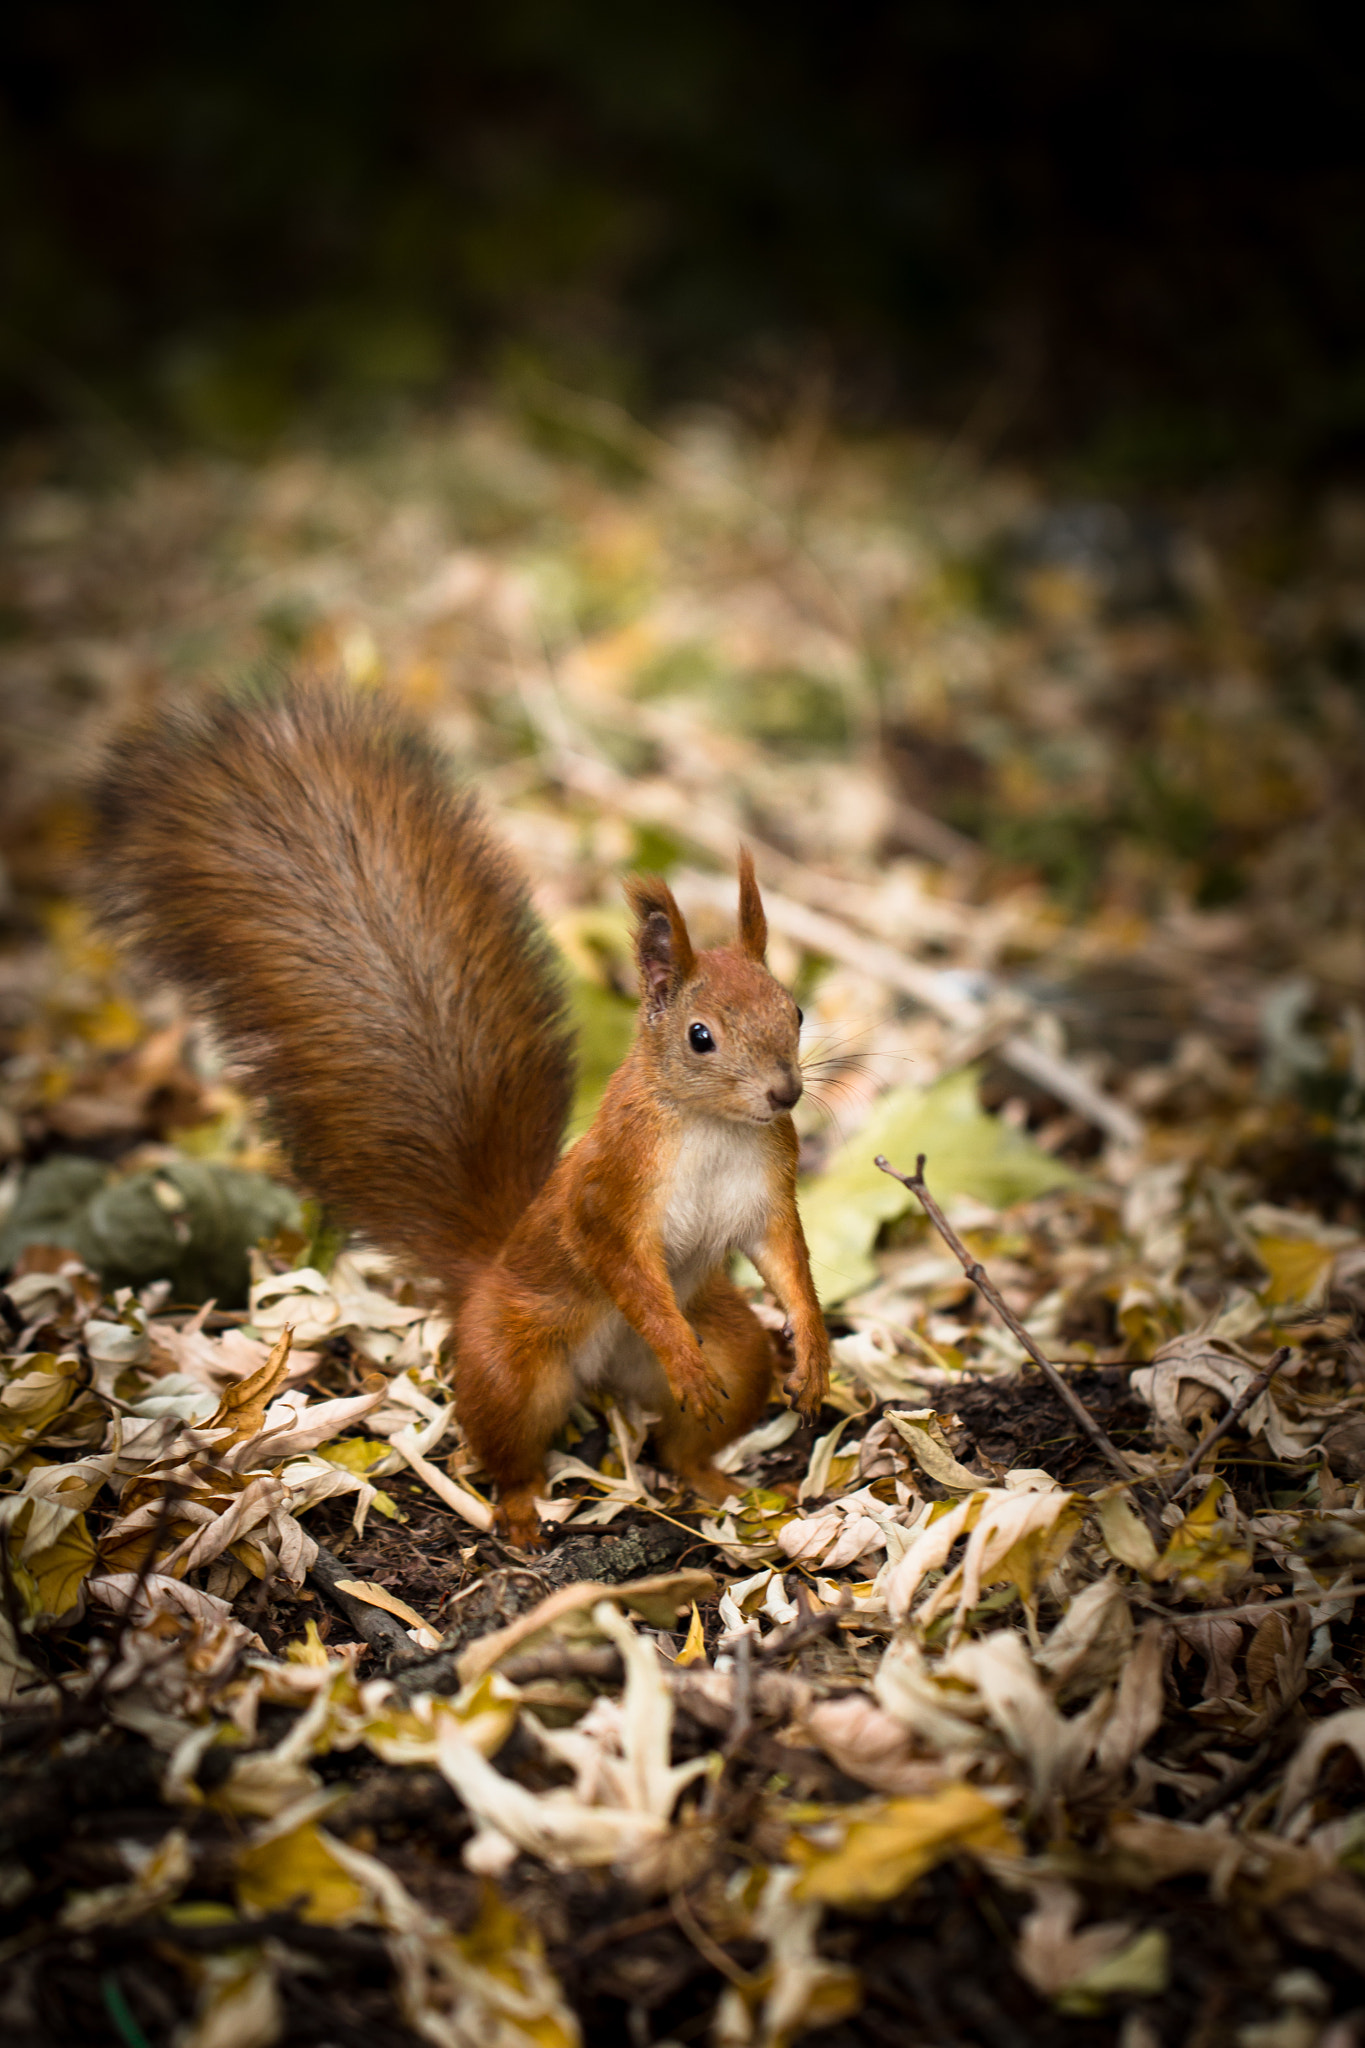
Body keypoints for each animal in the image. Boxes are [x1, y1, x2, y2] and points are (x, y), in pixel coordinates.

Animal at [93, 679, 834, 1540]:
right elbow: (626, 1268)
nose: (784, 1093)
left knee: (691, 1434)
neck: (713, 1128)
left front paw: (815, 1353)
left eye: (795, 1011)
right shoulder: (611, 1192)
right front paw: (684, 1350)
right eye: (700, 1036)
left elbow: (787, 1259)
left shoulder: (766, 1185)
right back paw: (521, 1508)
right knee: (510, 1447)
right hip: (514, 1362)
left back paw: (713, 1480)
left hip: (734, 1350)